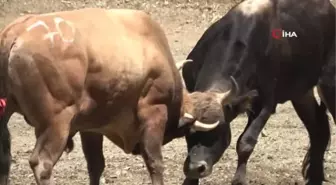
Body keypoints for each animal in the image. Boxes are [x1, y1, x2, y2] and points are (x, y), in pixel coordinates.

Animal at [0, 7, 231, 185]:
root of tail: (15, 33)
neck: (154, 47)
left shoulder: (90, 127)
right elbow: (155, 162)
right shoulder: (154, 112)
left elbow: (95, 165)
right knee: (42, 164)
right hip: (57, 123)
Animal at [180, 0, 336, 185]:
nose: (196, 167)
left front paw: (239, 180)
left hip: (329, 85)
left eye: (219, 130)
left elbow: (245, 142)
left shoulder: (266, 104)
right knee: (319, 129)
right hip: (301, 94)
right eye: (187, 131)